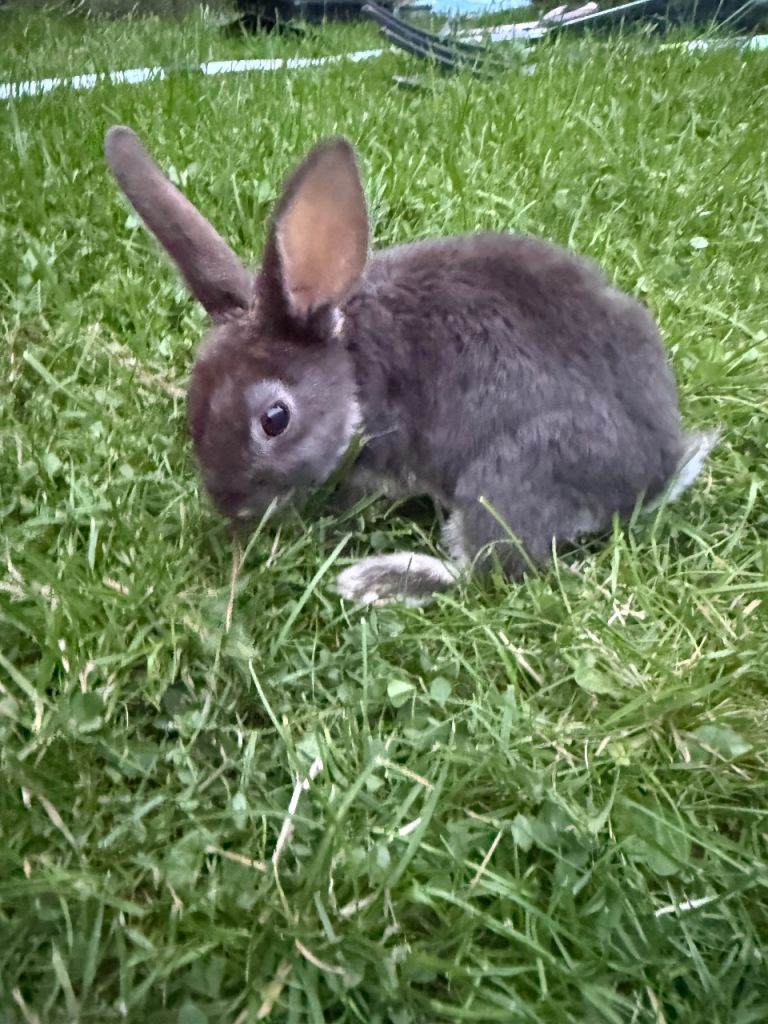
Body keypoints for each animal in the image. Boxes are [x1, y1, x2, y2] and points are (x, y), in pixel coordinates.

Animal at [104, 126, 717, 606]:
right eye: (194, 403)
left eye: (274, 420)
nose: (229, 508)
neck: (353, 368)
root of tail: (652, 478)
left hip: (507, 476)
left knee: (489, 572)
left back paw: (378, 580)